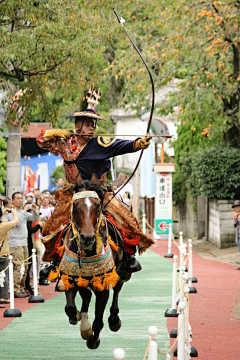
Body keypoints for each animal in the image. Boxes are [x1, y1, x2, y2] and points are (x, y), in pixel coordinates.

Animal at [56, 181, 132, 350]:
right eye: (75, 205)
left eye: (97, 206)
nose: (87, 237)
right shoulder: (70, 277)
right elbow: (70, 307)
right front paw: (79, 320)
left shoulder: (102, 286)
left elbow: (98, 321)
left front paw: (93, 339)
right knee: (86, 295)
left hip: (123, 271)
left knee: (117, 288)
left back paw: (114, 320)